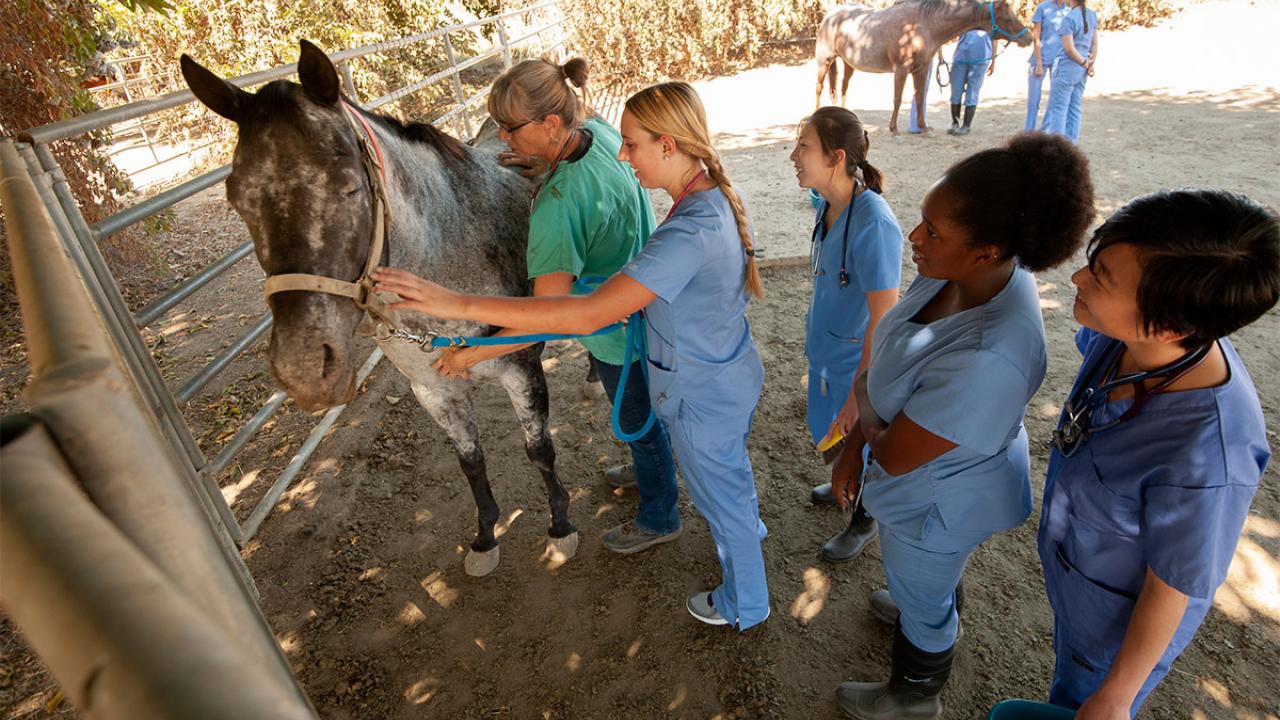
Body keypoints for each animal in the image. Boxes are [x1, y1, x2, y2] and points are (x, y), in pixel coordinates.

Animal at [180, 40, 578, 578]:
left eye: (349, 185)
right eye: (237, 199)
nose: (304, 369)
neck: (448, 256)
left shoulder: (521, 369)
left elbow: (539, 450)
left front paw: (560, 527)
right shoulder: (433, 390)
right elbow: (471, 462)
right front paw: (485, 537)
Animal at [815, 0, 1031, 134]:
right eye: (1008, 19)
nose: (1029, 38)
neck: (921, 26)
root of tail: (829, 17)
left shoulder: (922, 69)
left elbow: (919, 98)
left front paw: (924, 128)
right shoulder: (901, 69)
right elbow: (897, 99)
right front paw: (894, 130)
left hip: (848, 64)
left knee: (843, 88)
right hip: (824, 62)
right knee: (819, 89)